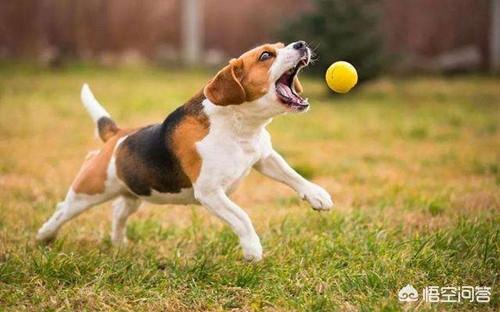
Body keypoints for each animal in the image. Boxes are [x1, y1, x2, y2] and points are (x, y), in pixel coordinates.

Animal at [37, 41, 334, 260]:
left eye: (282, 46)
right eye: (266, 55)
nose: (301, 44)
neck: (239, 126)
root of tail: (117, 136)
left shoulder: (264, 157)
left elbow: (292, 174)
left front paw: (317, 195)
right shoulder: (210, 192)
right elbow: (242, 216)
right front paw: (253, 249)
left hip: (133, 193)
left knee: (118, 211)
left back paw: (119, 243)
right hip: (89, 190)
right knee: (63, 209)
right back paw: (44, 236)